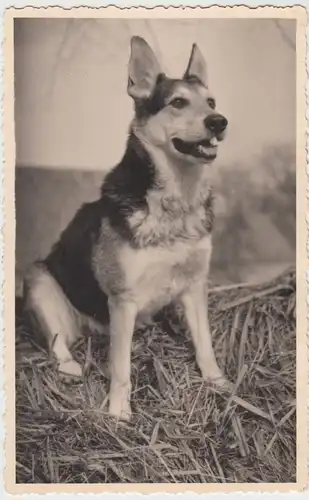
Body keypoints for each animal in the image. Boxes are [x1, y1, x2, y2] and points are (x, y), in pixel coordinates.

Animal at [23, 37, 229, 420]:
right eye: (178, 102)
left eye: (211, 102)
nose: (219, 122)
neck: (175, 200)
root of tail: (91, 329)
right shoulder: (123, 299)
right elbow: (120, 366)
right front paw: (119, 413)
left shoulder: (194, 285)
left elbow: (205, 343)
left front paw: (218, 383)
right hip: (38, 278)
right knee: (57, 342)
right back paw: (70, 366)